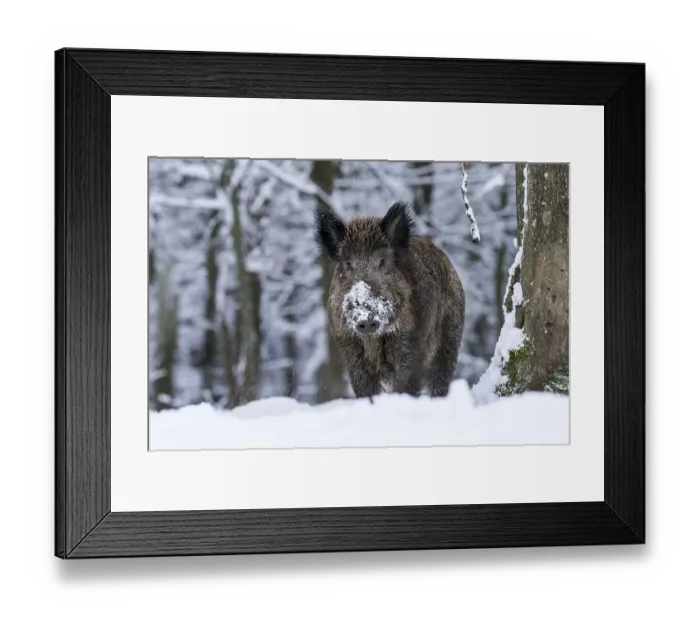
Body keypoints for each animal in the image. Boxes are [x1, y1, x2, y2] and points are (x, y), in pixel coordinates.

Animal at [314, 201, 466, 399]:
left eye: (382, 261)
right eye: (347, 263)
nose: (366, 318)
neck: (373, 341)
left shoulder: (411, 348)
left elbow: (405, 387)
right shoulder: (351, 351)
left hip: (450, 339)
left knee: (440, 380)